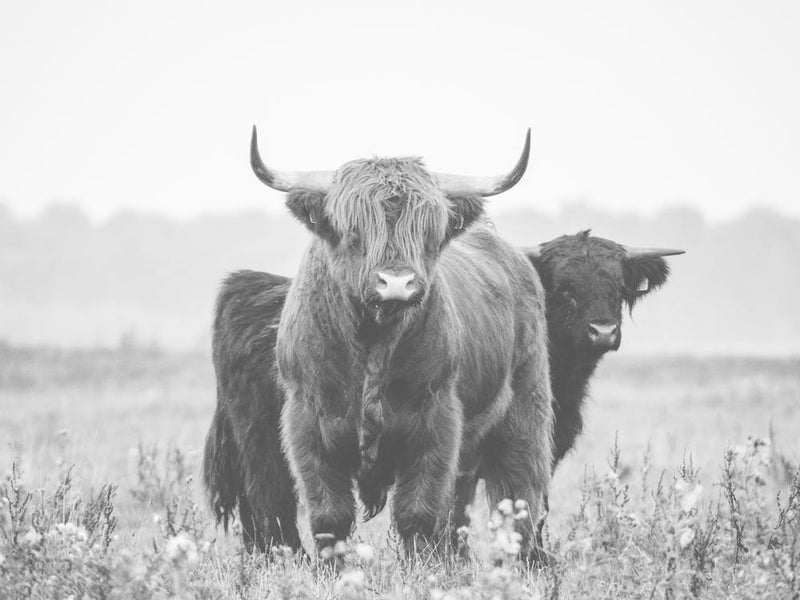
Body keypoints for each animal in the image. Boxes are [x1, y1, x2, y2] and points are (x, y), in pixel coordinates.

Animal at [202, 127, 554, 560]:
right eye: (354, 228)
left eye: (427, 230)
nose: (397, 283)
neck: (373, 341)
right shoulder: (306, 426)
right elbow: (329, 516)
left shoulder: (436, 425)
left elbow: (418, 514)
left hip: (523, 416)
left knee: (518, 495)